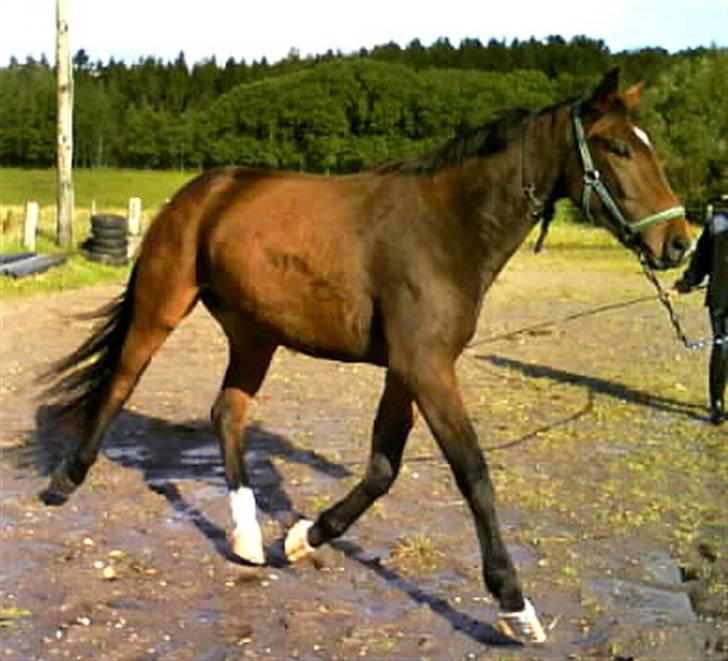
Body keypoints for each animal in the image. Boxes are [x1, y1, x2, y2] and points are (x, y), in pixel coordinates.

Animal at [39, 69, 688, 640]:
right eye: (616, 147)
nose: (678, 242)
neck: (445, 229)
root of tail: (201, 190)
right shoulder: (427, 370)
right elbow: (473, 473)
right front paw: (514, 606)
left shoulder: (408, 371)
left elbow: (382, 468)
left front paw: (304, 537)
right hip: (163, 304)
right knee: (121, 381)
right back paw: (65, 481)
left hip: (256, 335)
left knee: (227, 413)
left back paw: (247, 537)